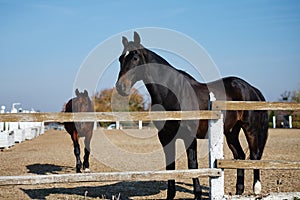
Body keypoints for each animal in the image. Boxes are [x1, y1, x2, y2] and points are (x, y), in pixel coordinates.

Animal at [115, 32, 270, 199]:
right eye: (120, 58)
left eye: (135, 57)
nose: (121, 87)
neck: (173, 93)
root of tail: (250, 88)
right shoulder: (165, 136)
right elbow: (170, 165)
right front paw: (170, 195)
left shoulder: (189, 136)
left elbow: (192, 164)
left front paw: (197, 194)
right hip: (231, 132)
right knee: (240, 155)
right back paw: (238, 191)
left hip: (250, 128)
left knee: (254, 155)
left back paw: (256, 189)